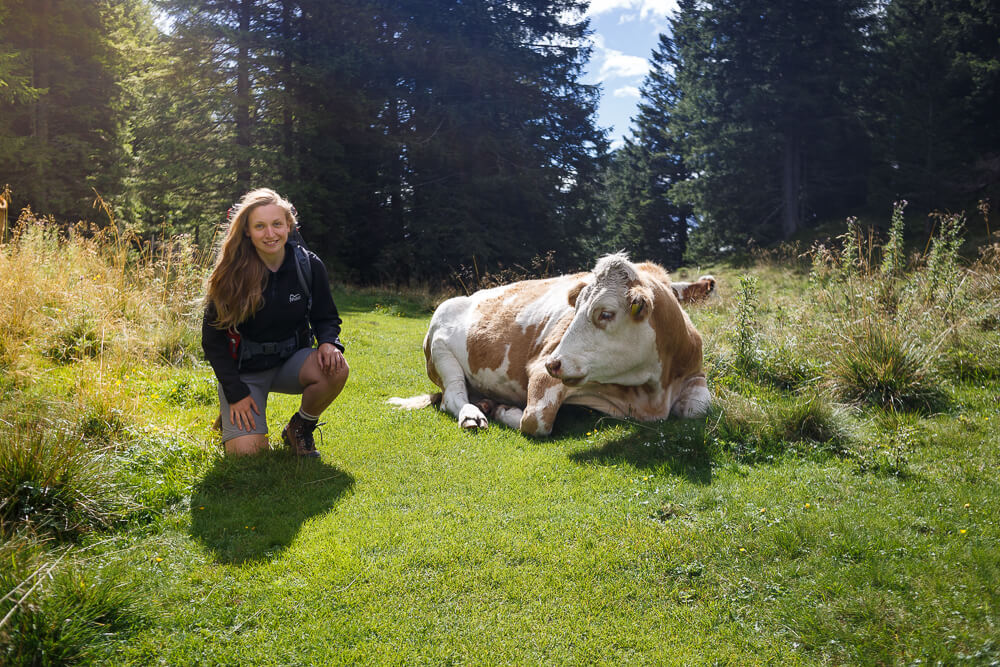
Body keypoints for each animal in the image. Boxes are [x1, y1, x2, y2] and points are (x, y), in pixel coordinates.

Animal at [390, 253, 712, 436]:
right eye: (577, 307)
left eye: (606, 313)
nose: (554, 363)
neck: (651, 394)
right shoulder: (542, 373)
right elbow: (535, 421)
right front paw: (504, 411)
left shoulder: (694, 371)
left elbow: (699, 409)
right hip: (441, 353)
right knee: (452, 397)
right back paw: (474, 413)